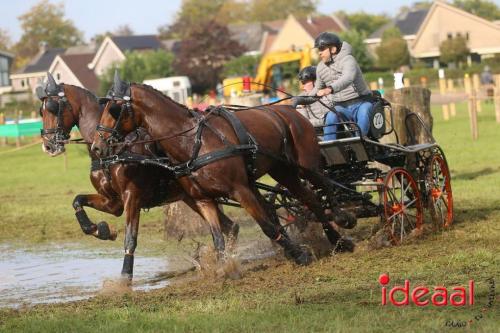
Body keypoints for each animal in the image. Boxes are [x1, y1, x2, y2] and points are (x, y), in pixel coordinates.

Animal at [38, 72, 237, 280]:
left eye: (52, 108)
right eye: (40, 111)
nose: (48, 146)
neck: (114, 150)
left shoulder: (131, 197)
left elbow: (130, 238)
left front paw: (125, 276)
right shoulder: (113, 202)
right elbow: (77, 201)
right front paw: (101, 230)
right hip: (191, 197)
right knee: (230, 227)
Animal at [91, 75, 356, 264]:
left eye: (113, 109)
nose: (97, 147)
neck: (193, 143)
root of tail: (290, 109)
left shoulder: (240, 189)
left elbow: (268, 226)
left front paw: (299, 254)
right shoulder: (204, 199)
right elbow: (218, 239)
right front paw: (224, 269)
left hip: (306, 165)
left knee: (322, 189)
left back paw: (343, 220)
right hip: (283, 170)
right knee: (309, 198)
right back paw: (337, 240)